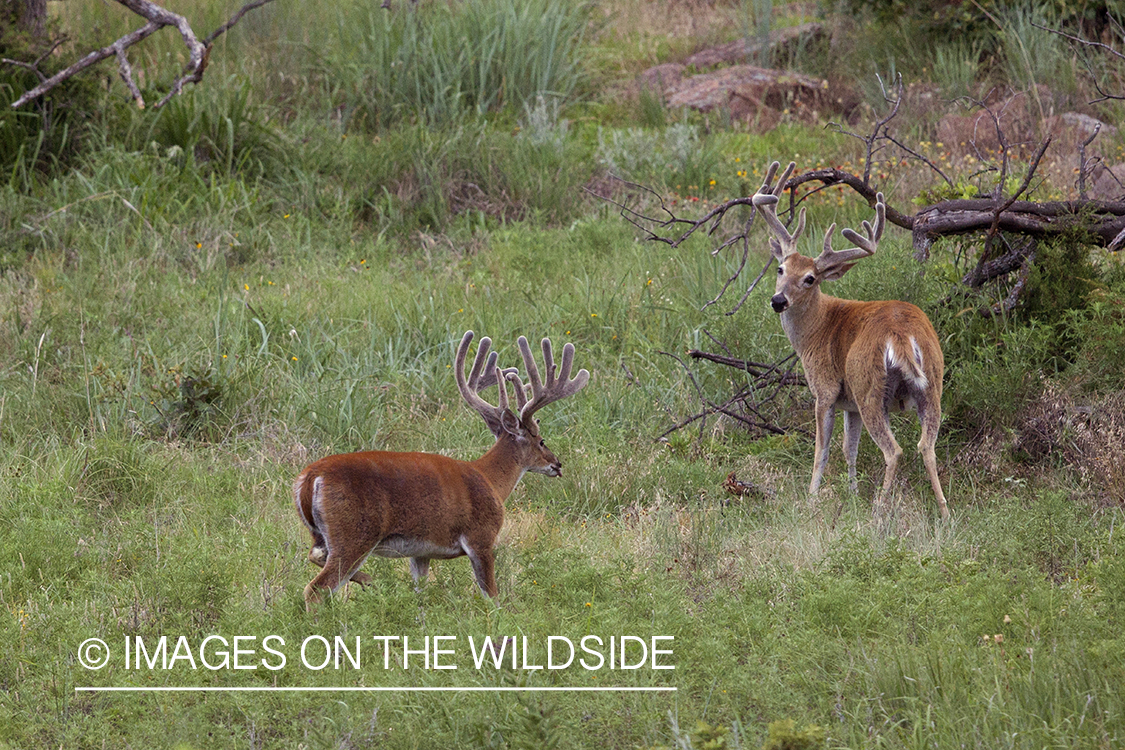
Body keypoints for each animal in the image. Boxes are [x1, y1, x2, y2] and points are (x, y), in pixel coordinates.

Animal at [294, 330, 589, 607]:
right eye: (541, 440)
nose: (557, 464)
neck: (491, 480)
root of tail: (310, 478)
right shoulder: (481, 537)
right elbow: (492, 597)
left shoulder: (420, 552)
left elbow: (420, 595)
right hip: (354, 533)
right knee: (316, 589)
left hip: (323, 533)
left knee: (315, 555)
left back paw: (370, 581)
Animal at [756, 161, 949, 519]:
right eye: (780, 269)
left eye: (810, 278)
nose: (778, 300)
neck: (815, 330)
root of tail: (901, 334)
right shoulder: (850, 405)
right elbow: (849, 449)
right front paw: (853, 493)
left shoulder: (826, 388)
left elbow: (822, 449)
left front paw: (812, 498)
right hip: (931, 384)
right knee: (926, 446)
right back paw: (944, 512)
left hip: (869, 386)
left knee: (894, 450)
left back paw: (879, 510)